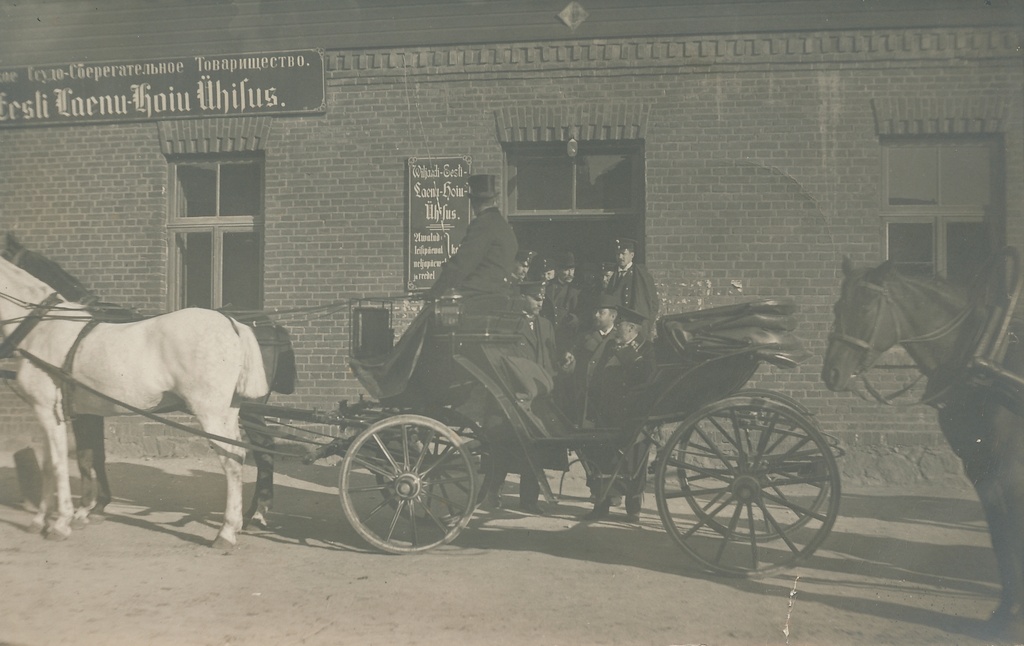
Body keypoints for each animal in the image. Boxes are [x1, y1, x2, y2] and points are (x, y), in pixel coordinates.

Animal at [2, 232, 296, 532]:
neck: (51, 325)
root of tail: (246, 324)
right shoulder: (90, 410)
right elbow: (93, 454)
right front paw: (93, 506)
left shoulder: (74, 412)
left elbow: (81, 458)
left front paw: (79, 510)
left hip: (243, 410)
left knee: (260, 452)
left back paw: (253, 515)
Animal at [823, 252, 1024, 642]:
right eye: (838, 306)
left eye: (866, 307)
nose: (831, 373)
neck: (984, 354)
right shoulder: (979, 467)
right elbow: (1000, 536)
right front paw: (1002, 614)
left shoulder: (1007, 466)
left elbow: (1013, 531)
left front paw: (1012, 616)